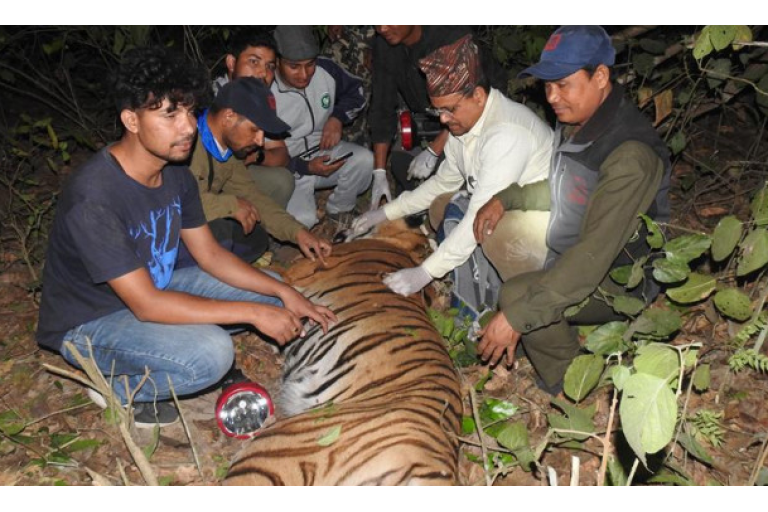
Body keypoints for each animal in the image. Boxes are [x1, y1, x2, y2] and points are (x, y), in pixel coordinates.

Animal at [222, 218, 462, 486]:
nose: (344, 227)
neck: (400, 245)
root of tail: (437, 469)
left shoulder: (295, 273)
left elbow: (264, 271)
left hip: (276, 448)